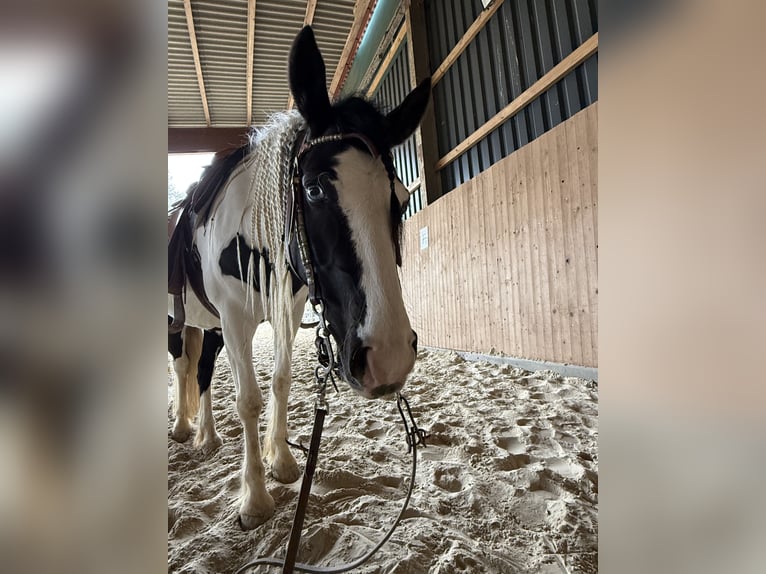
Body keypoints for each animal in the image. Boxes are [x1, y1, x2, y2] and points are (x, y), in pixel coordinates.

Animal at [168, 25, 431, 530]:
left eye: (402, 196)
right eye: (312, 189)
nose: (388, 358)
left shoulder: (285, 313)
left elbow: (281, 381)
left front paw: (285, 464)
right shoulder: (235, 319)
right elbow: (248, 399)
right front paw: (254, 499)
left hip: (209, 326)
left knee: (203, 369)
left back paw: (207, 436)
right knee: (182, 367)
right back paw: (183, 428)